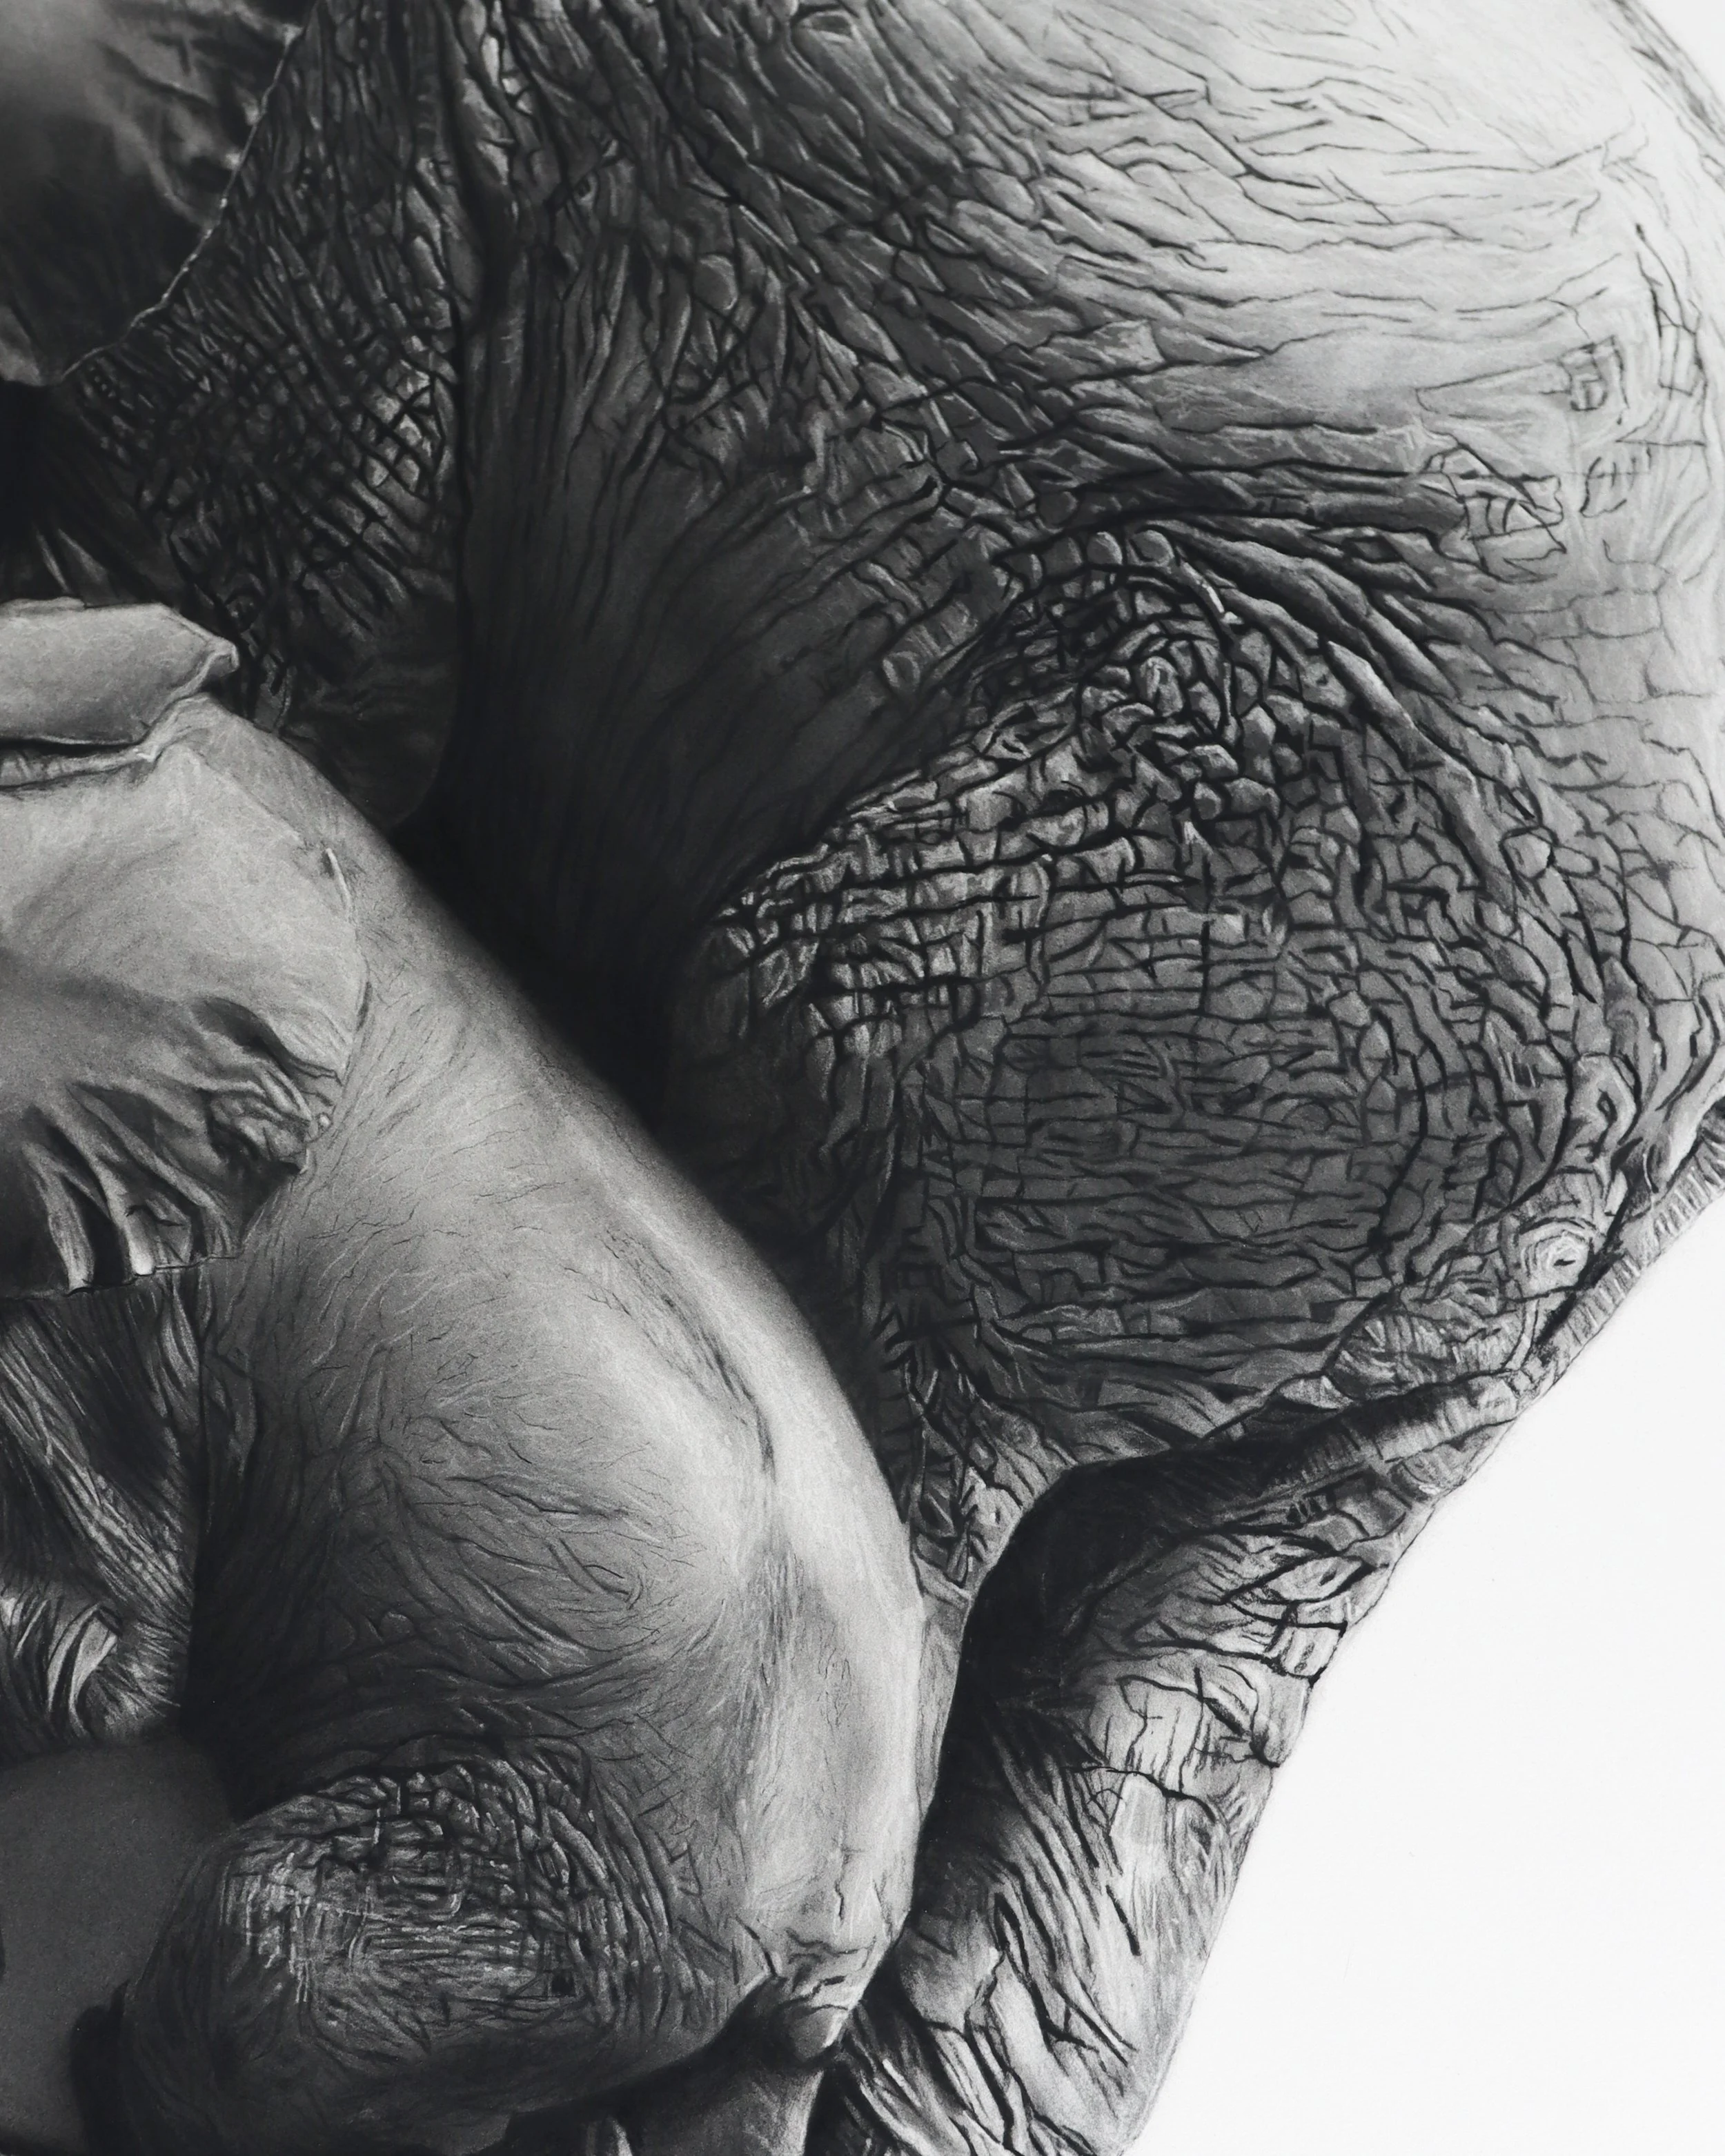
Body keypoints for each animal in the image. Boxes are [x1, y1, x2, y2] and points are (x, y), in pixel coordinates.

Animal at [0, 599, 925, 2155]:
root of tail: (841, 1922)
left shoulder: (124, 1275)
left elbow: (108, 1653)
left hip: (575, 1880)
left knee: (268, 1945)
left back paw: (98, 2065)